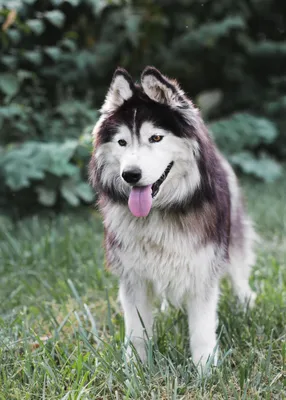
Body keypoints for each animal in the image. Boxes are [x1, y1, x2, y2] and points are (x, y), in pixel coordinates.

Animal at [88, 66, 256, 372]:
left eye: (156, 138)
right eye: (122, 142)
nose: (130, 175)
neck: (159, 212)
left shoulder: (202, 266)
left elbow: (201, 329)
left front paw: (205, 371)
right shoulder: (133, 275)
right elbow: (137, 330)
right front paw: (136, 369)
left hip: (233, 231)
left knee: (238, 266)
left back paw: (245, 301)